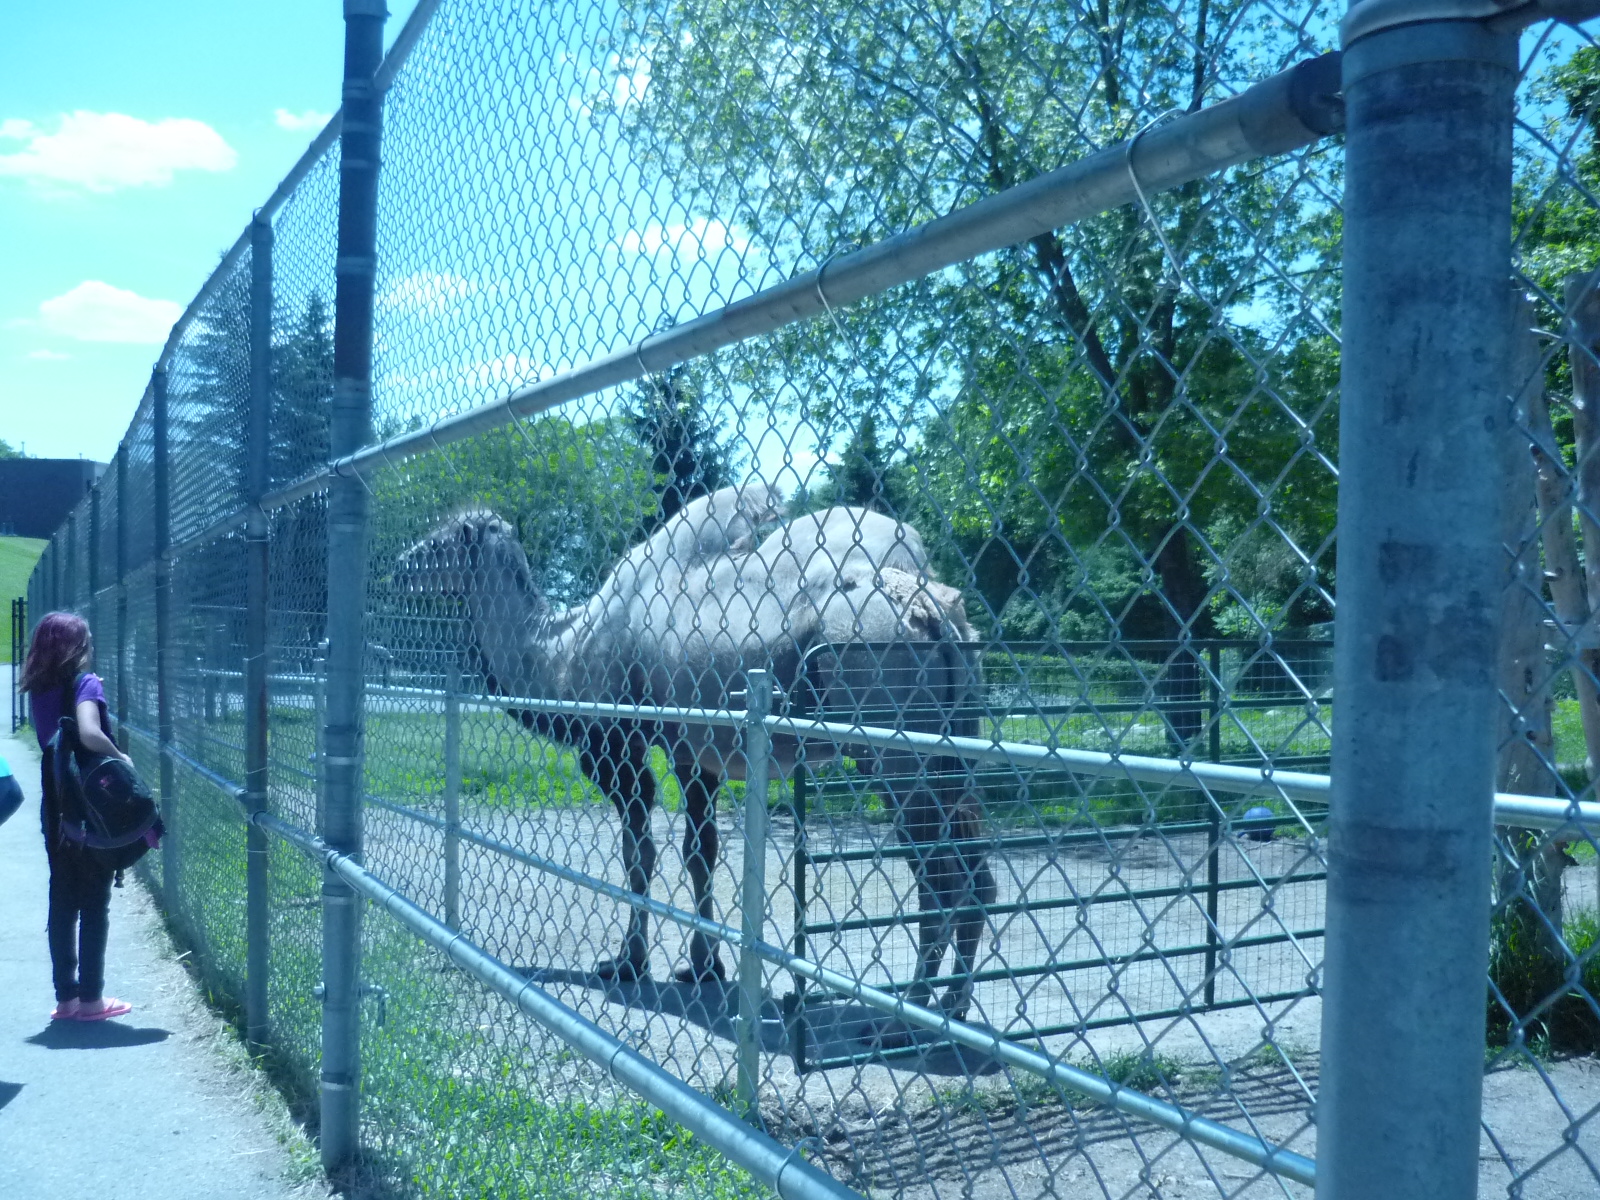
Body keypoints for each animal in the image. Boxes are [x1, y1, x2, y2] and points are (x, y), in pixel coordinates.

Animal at [395, 485, 995, 1017]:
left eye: (437, 543)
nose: (399, 566)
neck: (560, 652)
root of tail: (933, 613)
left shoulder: (616, 747)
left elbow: (639, 854)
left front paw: (626, 963)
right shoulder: (694, 753)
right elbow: (698, 853)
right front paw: (704, 966)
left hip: (894, 750)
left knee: (939, 874)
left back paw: (915, 1006)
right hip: (952, 745)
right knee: (973, 866)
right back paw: (952, 1001)